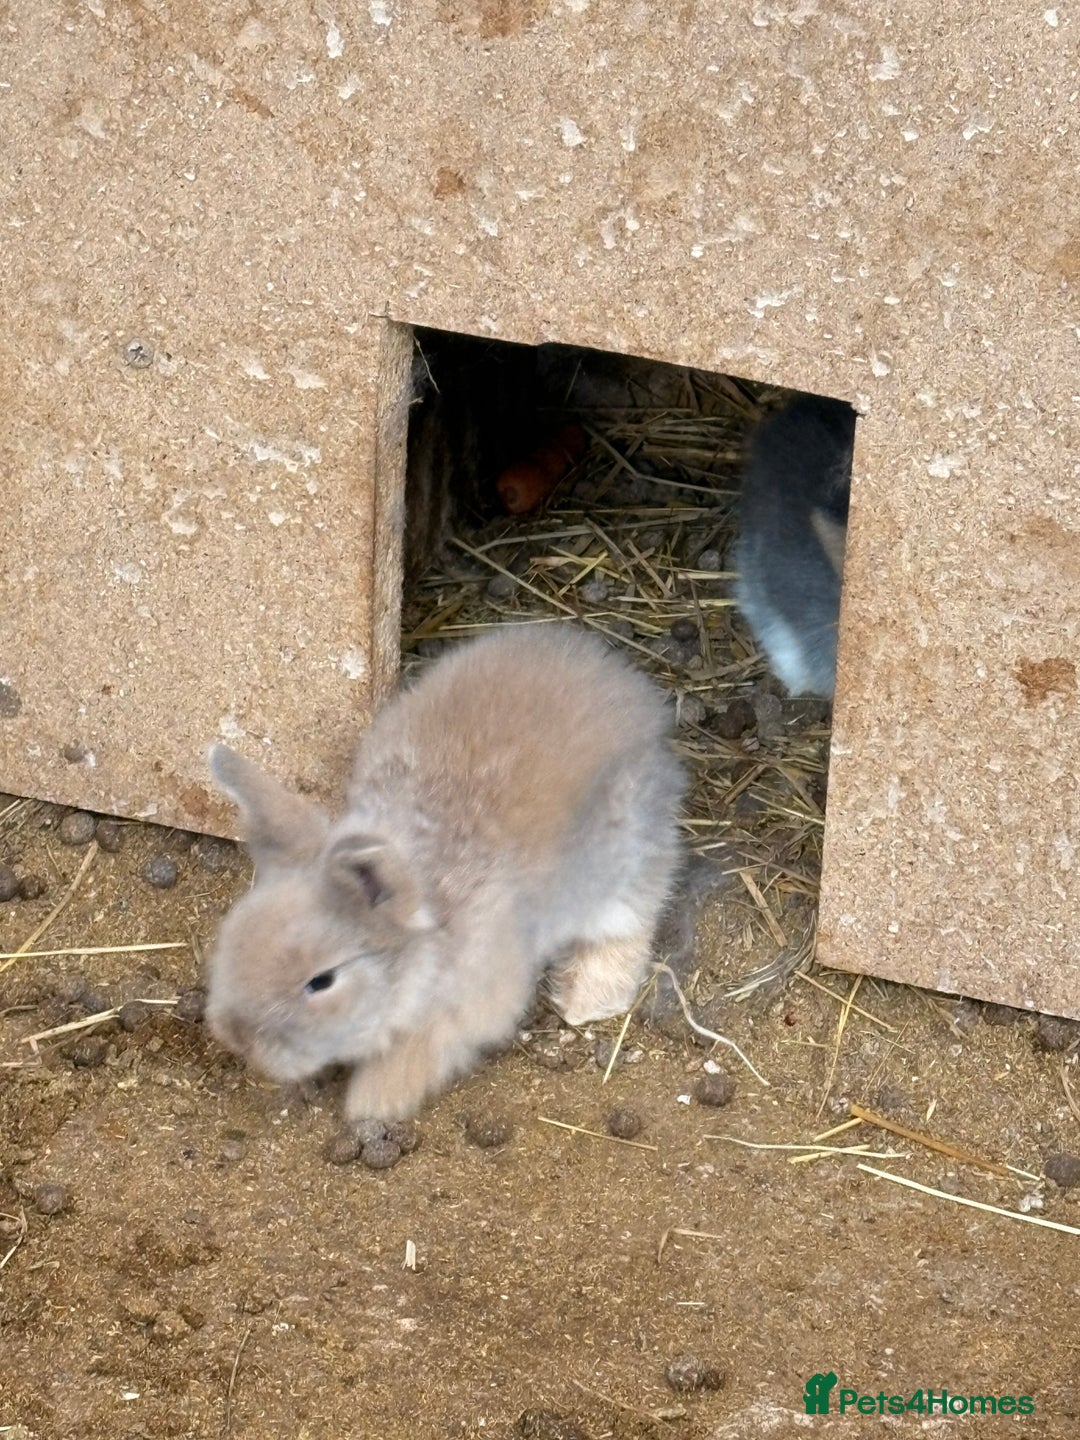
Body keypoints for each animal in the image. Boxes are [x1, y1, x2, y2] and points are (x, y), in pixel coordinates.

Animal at [205, 624, 685, 1122]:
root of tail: (629, 687)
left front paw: (370, 1105)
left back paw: (584, 1002)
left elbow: (416, 1055)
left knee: (630, 922)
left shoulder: (465, 1010)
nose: (238, 1037)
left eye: (321, 981)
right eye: (233, 936)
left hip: (626, 859)